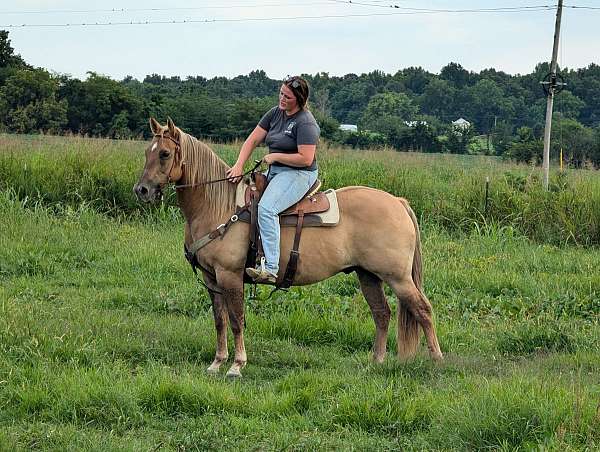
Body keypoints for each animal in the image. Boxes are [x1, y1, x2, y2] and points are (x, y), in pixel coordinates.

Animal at [134, 117, 442, 378]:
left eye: (165, 153)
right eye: (147, 152)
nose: (142, 190)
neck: (218, 207)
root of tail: (397, 202)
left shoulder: (230, 276)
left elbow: (236, 319)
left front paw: (236, 365)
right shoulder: (212, 279)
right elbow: (219, 321)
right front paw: (217, 363)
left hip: (398, 277)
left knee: (423, 310)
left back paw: (437, 361)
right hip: (367, 275)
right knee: (382, 313)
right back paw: (376, 363)